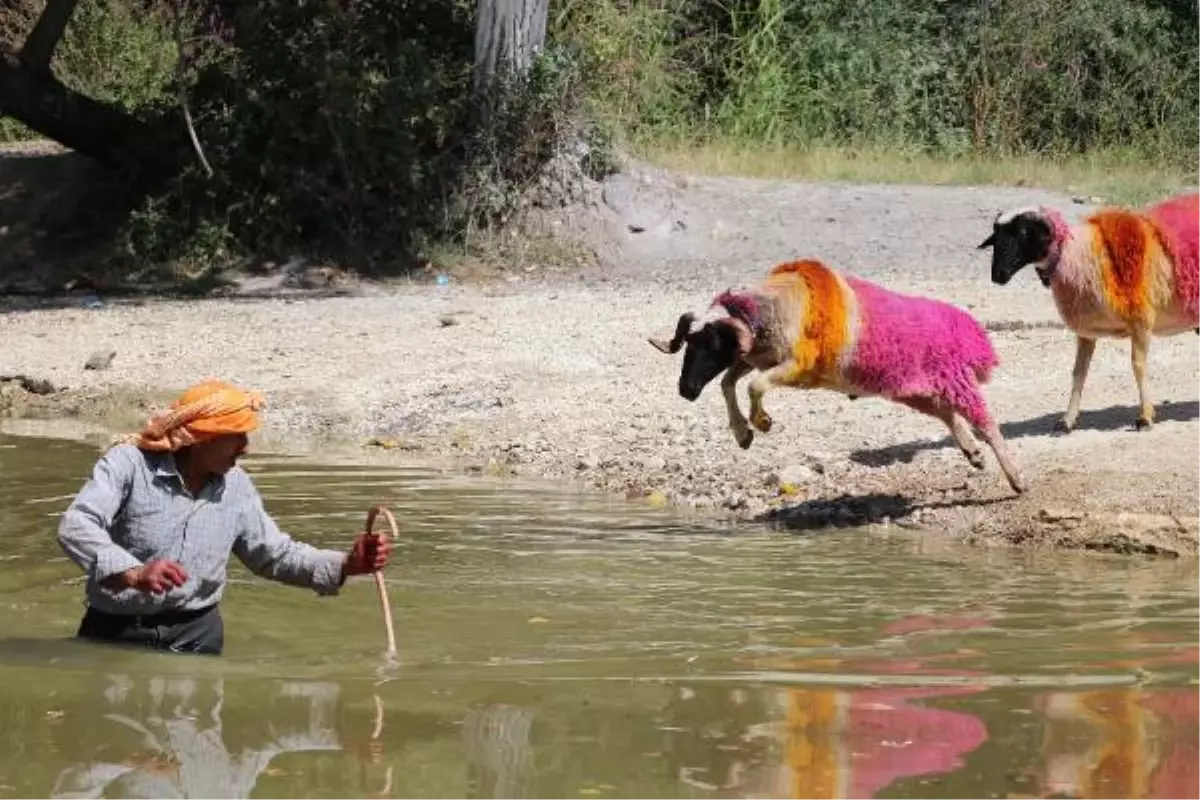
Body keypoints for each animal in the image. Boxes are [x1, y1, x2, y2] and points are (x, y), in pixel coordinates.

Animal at [652, 260, 1027, 494]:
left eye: (714, 344)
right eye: (688, 344)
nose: (686, 390)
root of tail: (970, 330)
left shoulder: (794, 365)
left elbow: (753, 385)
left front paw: (761, 422)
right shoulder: (758, 357)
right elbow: (729, 383)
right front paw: (742, 432)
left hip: (954, 379)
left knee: (987, 423)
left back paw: (1016, 477)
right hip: (912, 388)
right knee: (947, 413)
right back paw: (973, 453)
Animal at [979, 191, 1200, 431]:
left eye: (1024, 231)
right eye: (996, 237)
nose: (997, 275)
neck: (1081, 256)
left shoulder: (1141, 322)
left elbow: (1138, 366)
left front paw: (1145, 417)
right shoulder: (1086, 332)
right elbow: (1078, 373)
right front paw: (1067, 420)